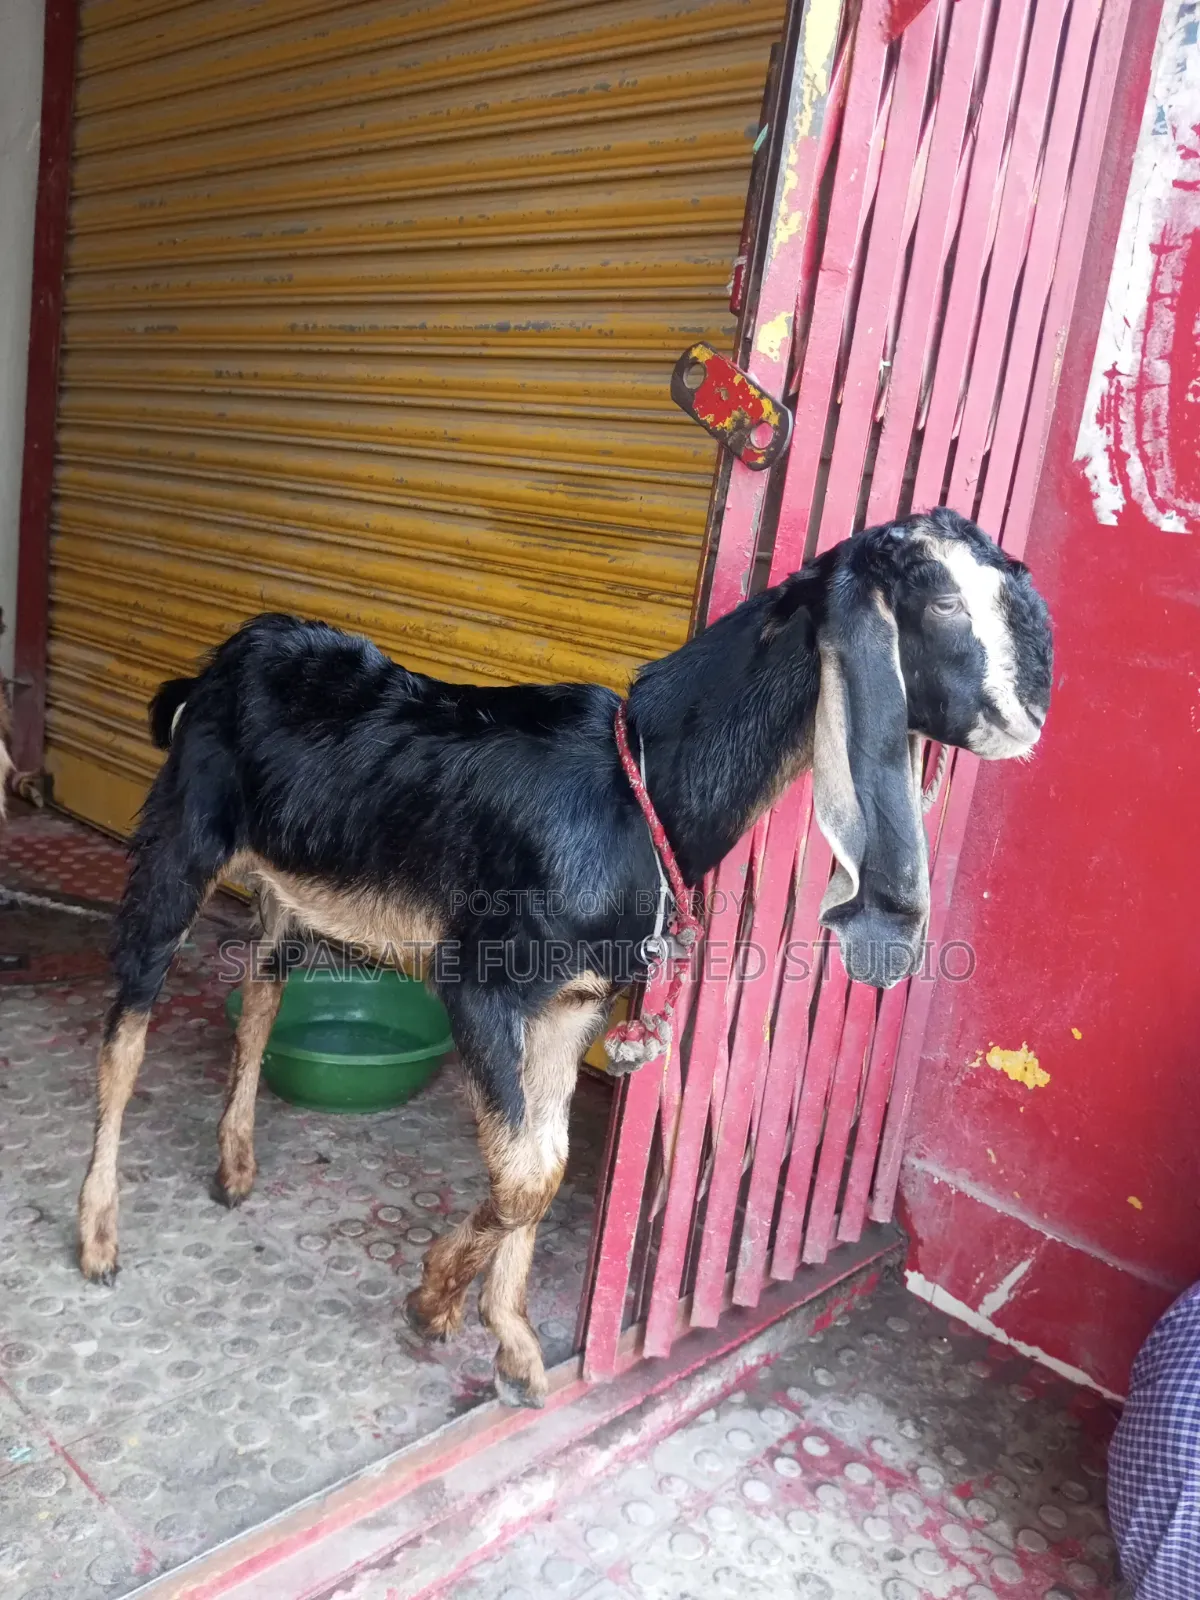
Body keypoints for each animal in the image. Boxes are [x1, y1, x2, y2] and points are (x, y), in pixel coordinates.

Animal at [77, 508, 1052, 1406]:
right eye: (937, 602)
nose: (1028, 718)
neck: (640, 787)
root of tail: (220, 661)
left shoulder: (570, 1005)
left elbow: (543, 1163)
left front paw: (509, 1341)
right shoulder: (482, 983)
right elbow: (527, 1171)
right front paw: (436, 1298)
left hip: (289, 890)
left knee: (261, 1003)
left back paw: (235, 1163)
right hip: (180, 842)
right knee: (126, 1025)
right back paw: (97, 1233)